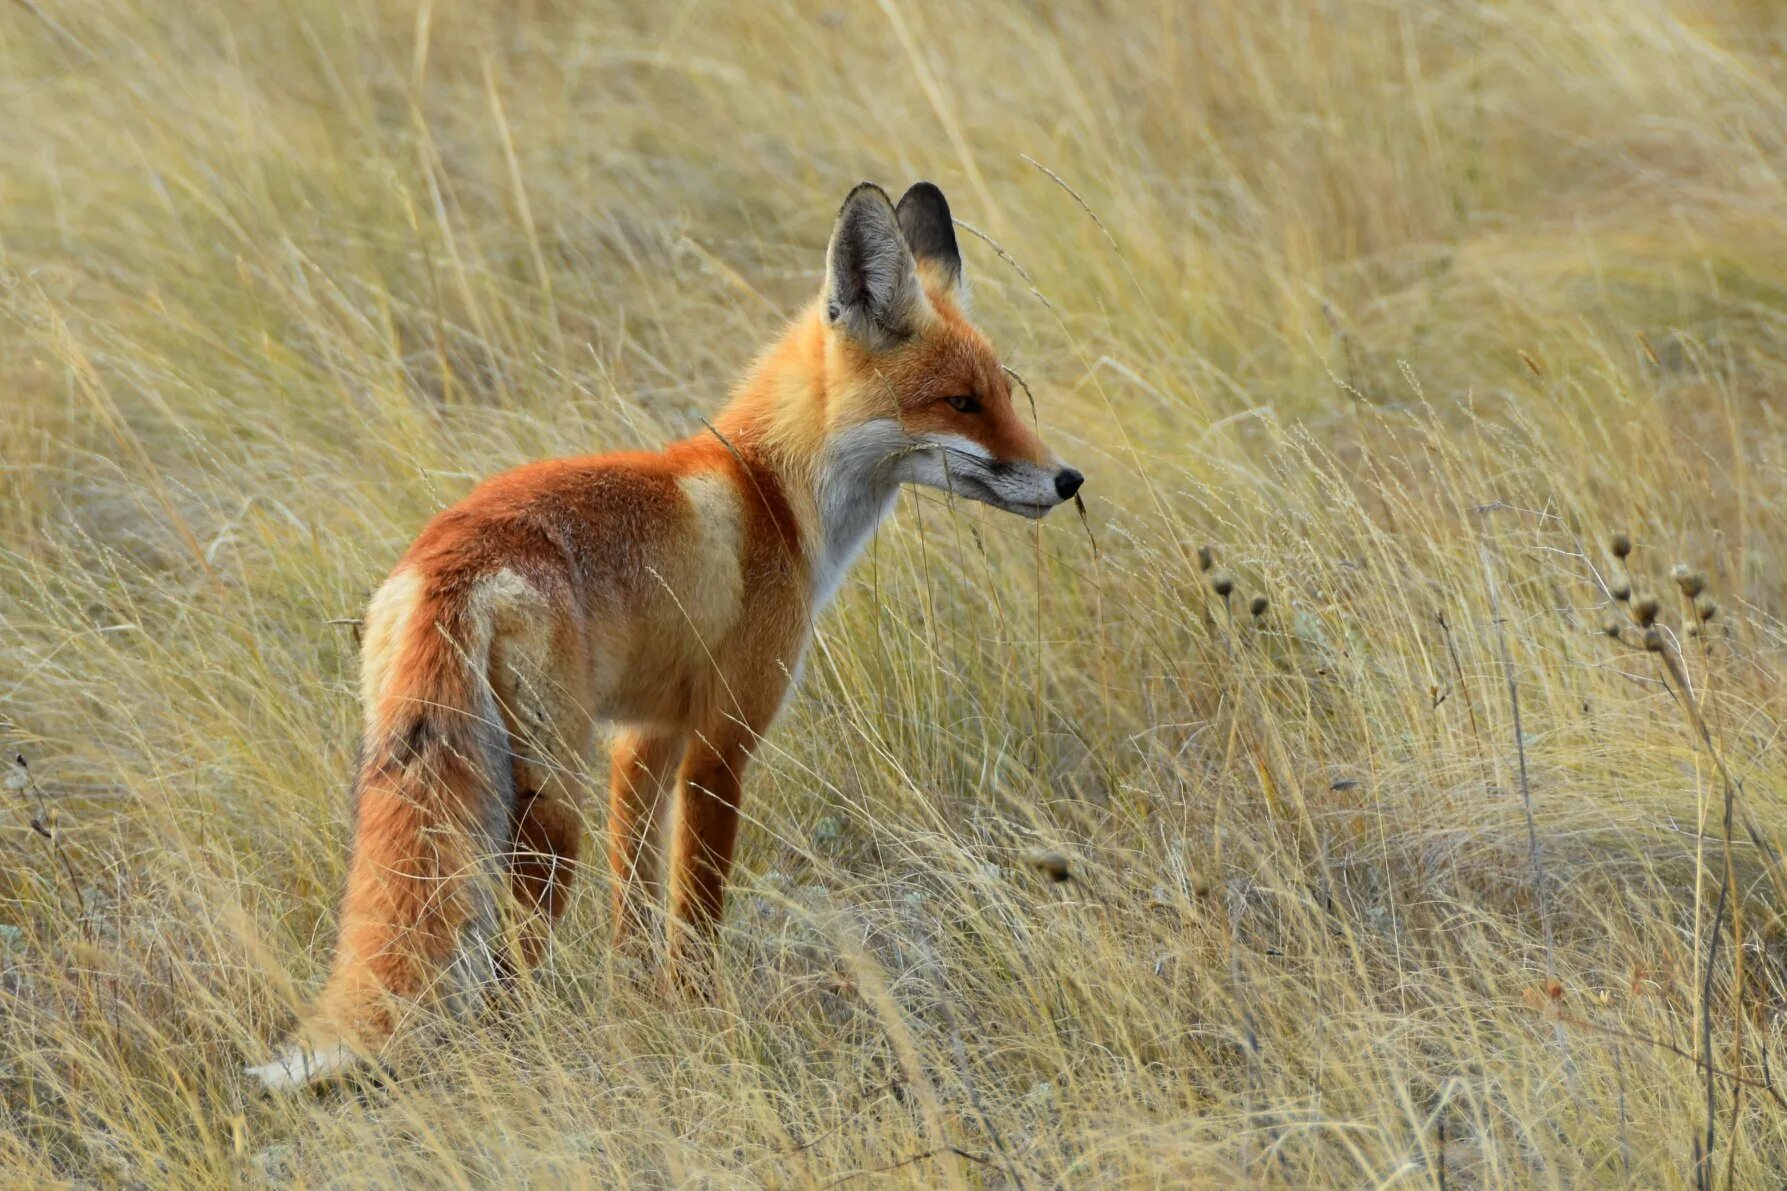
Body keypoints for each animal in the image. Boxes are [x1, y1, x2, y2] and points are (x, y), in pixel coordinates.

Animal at [248, 178, 1086, 1087]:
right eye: (960, 402)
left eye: (1003, 393)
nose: (1067, 480)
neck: (772, 497)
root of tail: (448, 561)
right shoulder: (722, 740)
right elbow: (698, 911)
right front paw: (703, 1016)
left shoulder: (643, 738)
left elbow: (637, 910)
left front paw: (641, 1005)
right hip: (550, 814)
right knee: (507, 973)